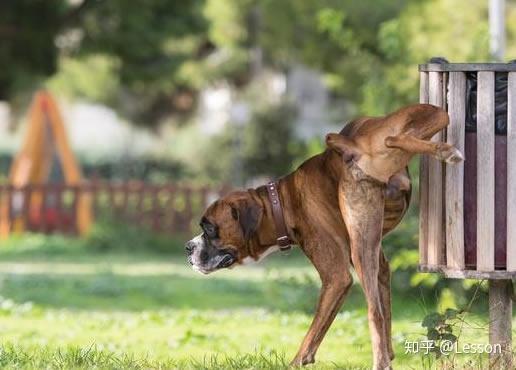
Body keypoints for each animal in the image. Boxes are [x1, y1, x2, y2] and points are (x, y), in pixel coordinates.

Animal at [185, 103, 464, 368]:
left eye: (209, 228)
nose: (188, 247)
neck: (282, 203)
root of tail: (353, 145)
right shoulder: (380, 265)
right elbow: (386, 310)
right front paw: (390, 353)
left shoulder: (336, 277)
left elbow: (314, 330)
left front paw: (297, 362)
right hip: (429, 117)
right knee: (399, 135)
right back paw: (443, 150)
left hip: (361, 249)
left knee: (373, 312)